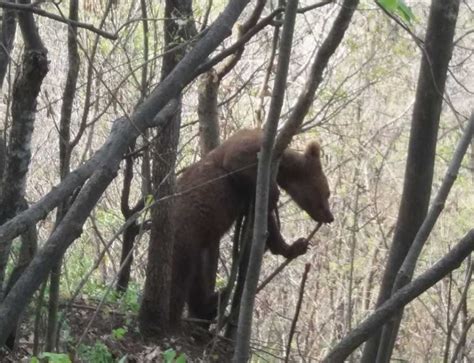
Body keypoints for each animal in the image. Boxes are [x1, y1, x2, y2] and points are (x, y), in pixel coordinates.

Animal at [170, 130, 334, 328]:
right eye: (327, 192)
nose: (330, 216)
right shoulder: (248, 152)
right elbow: (237, 161)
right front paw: (275, 194)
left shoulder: (250, 199)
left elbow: (266, 222)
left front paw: (296, 246)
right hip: (186, 227)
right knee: (179, 274)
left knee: (197, 279)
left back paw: (212, 303)